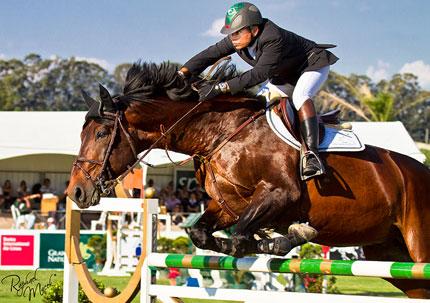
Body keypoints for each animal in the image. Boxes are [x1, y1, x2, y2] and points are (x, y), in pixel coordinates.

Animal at [68, 62, 430, 300]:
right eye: (82, 133)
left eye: (101, 133)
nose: (76, 192)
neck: (220, 133)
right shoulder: (229, 204)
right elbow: (203, 233)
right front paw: (267, 241)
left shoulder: (281, 194)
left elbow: (244, 233)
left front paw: (281, 239)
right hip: (388, 254)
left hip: (417, 246)